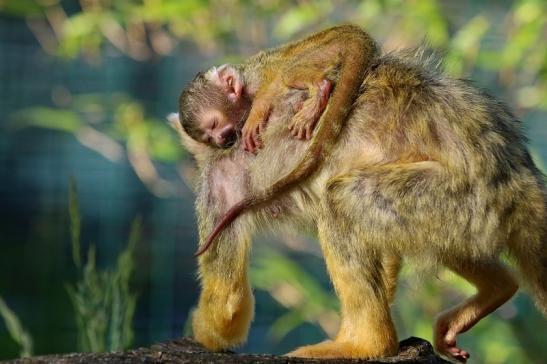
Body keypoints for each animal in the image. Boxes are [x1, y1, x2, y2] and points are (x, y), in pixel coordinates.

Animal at [178, 24, 378, 256]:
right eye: (208, 137)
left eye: (213, 124)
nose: (219, 139)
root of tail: (351, 31)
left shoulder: (255, 80)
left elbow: (270, 85)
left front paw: (253, 118)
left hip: (326, 50)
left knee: (288, 72)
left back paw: (319, 91)